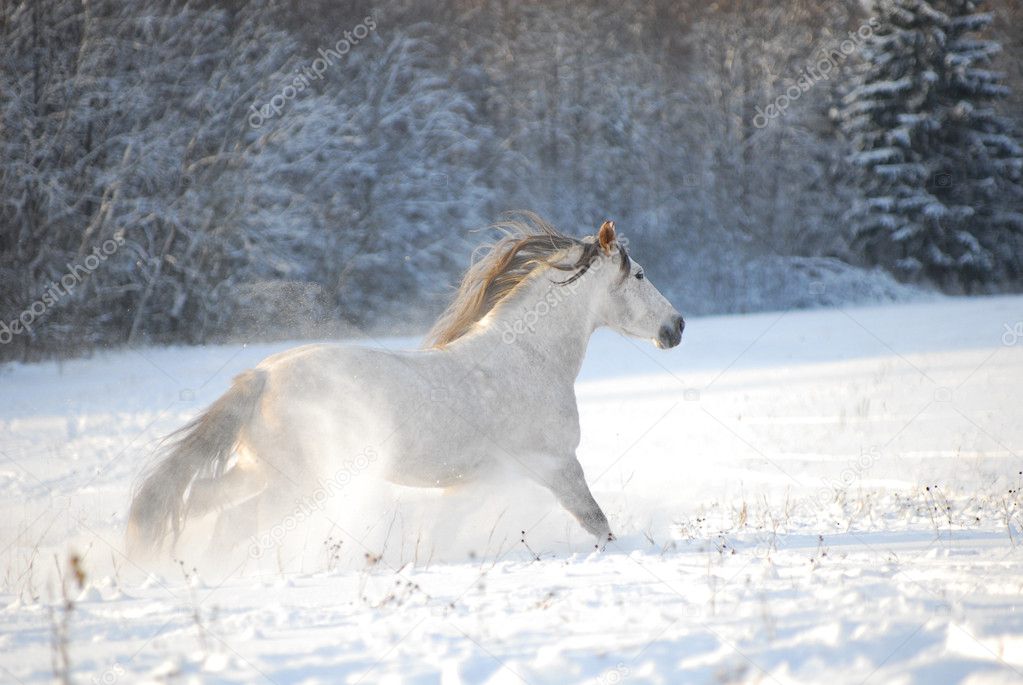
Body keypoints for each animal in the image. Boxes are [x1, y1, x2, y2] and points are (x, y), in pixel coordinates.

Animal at [129, 214, 687, 556]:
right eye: (639, 274)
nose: (676, 326)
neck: (528, 360)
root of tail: (261, 377)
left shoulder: (476, 481)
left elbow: (446, 528)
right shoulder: (556, 465)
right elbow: (597, 522)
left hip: (258, 471)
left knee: (199, 501)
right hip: (297, 484)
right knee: (231, 523)